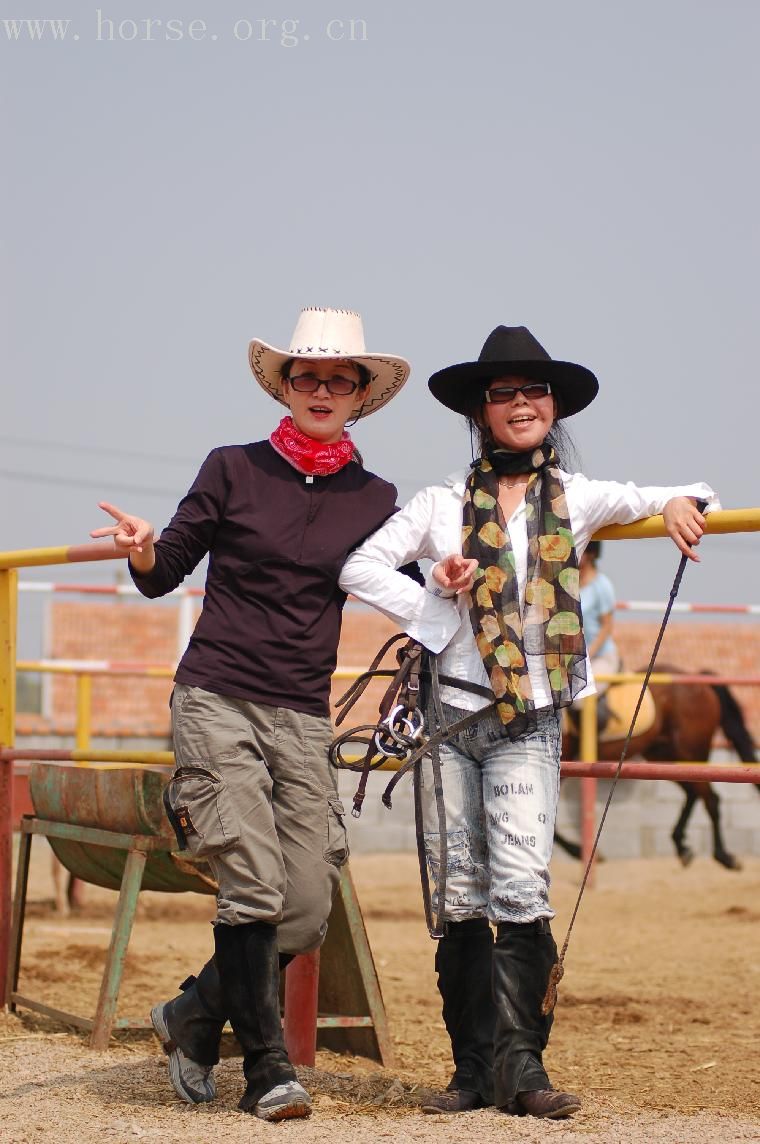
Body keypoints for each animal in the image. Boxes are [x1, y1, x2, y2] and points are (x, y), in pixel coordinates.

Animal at [556, 668, 755, 864]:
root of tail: (698, 680)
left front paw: (576, 850)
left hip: (691, 753)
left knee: (710, 798)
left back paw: (723, 856)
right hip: (665, 757)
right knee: (693, 793)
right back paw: (682, 846)